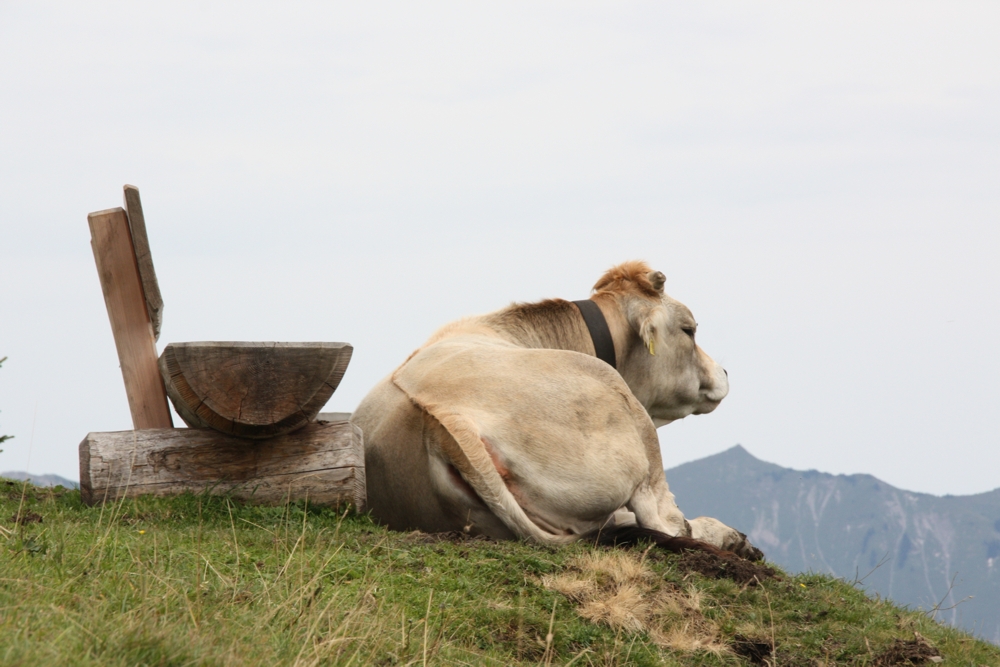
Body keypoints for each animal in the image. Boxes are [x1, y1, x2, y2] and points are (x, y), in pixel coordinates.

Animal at [350, 262, 756, 564]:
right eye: (689, 330)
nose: (723, 372)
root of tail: (445, 421)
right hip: (634, 430)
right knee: (667, 521)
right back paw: (730, 537)